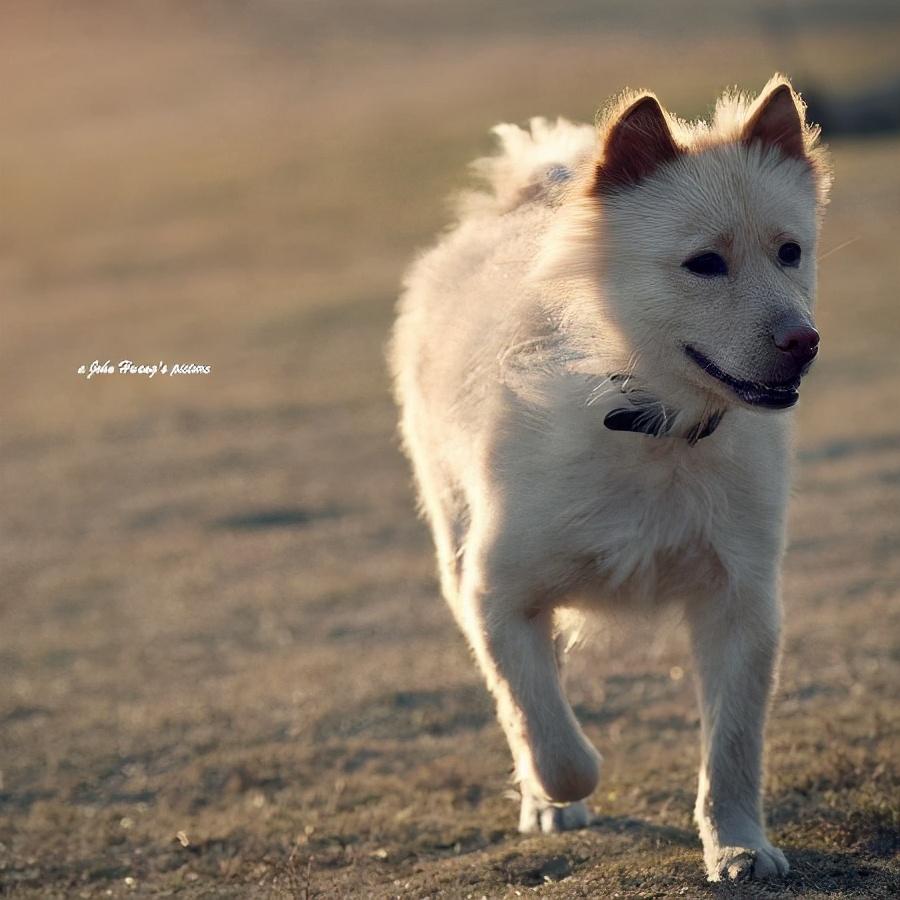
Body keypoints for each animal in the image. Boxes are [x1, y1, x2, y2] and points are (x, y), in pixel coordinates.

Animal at [390, 75, 832, 880]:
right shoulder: (495, 596)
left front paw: (738, 846)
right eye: (704, 264)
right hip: (452, 534)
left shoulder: (742, 603)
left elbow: (733, 748)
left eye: (790, 251)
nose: (804, 342)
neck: (655, 426)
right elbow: (550, 738)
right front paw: (556, 794)